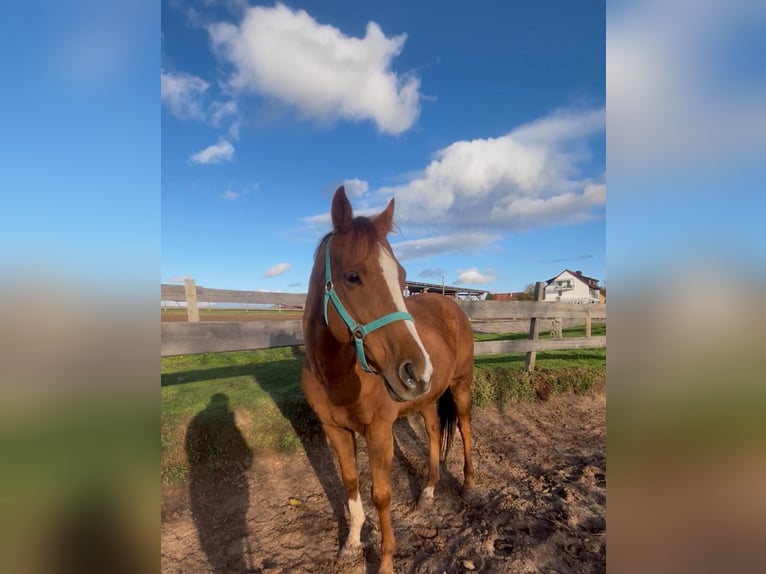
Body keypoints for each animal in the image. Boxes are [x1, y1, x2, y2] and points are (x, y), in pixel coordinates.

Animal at [301, 186, 475, 574]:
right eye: (353, 277)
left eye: (401, 276)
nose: (416, 370)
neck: (337, 376)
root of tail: (451, 305)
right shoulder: (335, 430)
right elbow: (350, 482)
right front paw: (351, 543)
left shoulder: (380, 430)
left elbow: (381, 495)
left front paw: (385, 561)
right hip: (426, 398)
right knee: (433, 431)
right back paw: (428, 491)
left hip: (460, 387)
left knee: (465, 428)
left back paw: (469, 484)